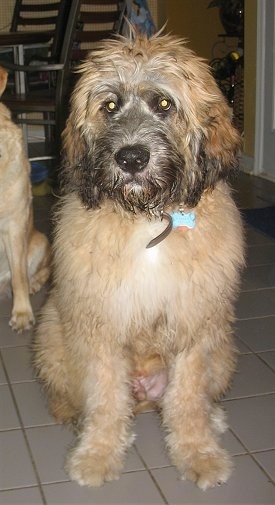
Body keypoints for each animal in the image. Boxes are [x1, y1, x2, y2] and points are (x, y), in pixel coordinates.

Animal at [33, 32, 246, 488]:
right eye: (110, 106)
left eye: (163, 103)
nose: (131, 158)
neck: (150, 219)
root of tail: (146, 395)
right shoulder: (101, 325)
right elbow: (105, 398)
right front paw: (97, 454)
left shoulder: (194, 325)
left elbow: (188, 398)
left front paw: (198, 453)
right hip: (53, 332)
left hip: (222, 347)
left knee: (188, 399)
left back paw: (212, 418)